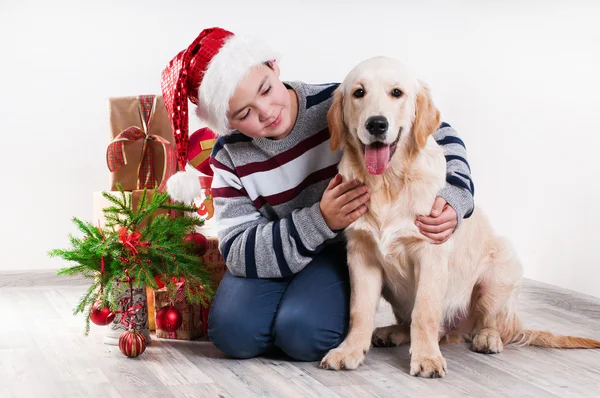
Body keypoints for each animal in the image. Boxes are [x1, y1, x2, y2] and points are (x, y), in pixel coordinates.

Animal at [322, 55, 600, 376]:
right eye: (359, 93)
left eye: (397, 93)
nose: (377, 124)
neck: (388, 184)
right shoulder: (361, 254)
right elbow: (360, 310)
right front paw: (350, 350)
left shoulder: (431, 252)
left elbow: (425, 311)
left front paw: (427, 358)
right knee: (415, 322)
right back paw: (392, 332)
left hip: (500, 268)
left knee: (488, 322)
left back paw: (487, 338)